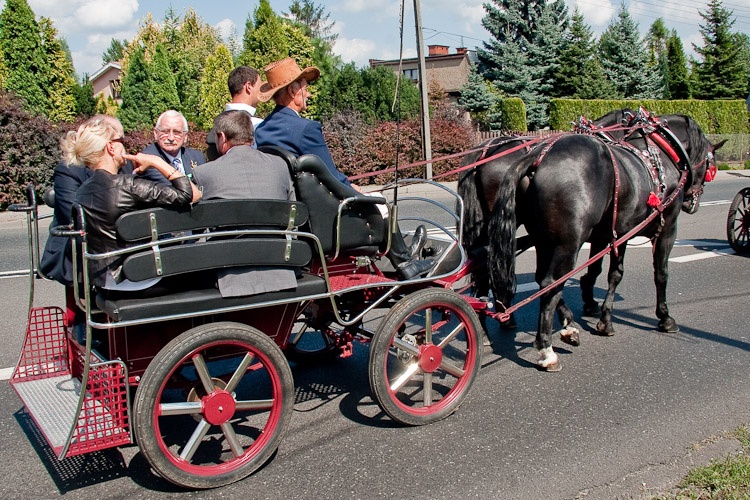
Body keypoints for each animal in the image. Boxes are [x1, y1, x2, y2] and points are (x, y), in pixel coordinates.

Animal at [485, 111, 724, 371]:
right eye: (711, 163)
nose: (693, 201)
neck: (659, 154)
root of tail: (538, 156)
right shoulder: (667, 228)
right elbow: (660, 274)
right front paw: (664, 317)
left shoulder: (613, 234)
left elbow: (607, 273)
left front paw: (601, 314)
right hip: (568, 243)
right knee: (551, 282)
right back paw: (546, 349)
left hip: (543, 239)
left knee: (541, 280)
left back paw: (566, 326)